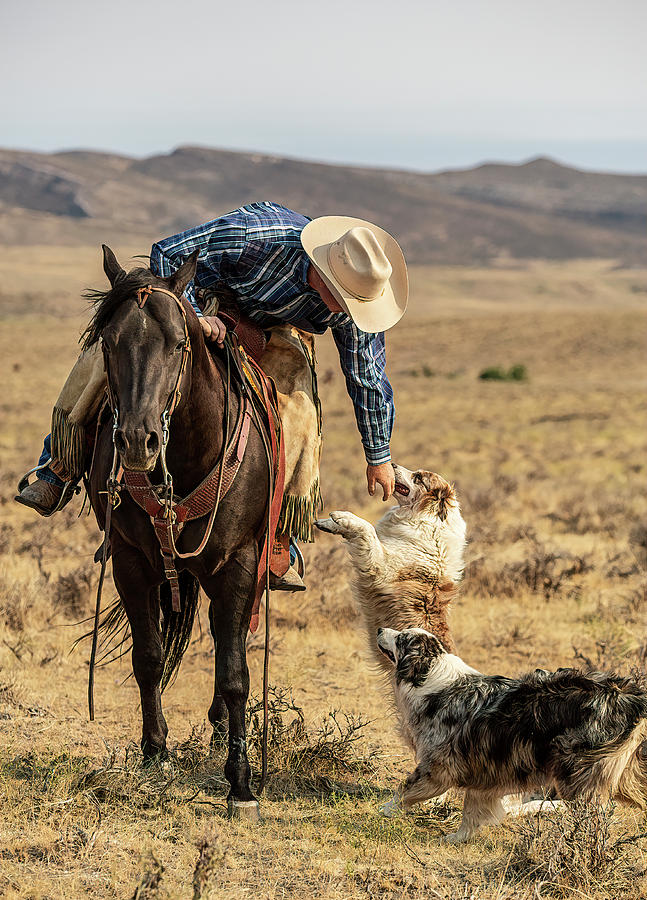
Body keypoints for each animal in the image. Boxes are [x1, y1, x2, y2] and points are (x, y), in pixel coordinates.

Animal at [84, 246, 270, 824]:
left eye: (179, 343)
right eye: (109, 342)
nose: (136, 441)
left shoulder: (238, 565)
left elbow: (234, 674)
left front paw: (241, 784)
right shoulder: (131, 562)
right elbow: (147, 659)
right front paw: (154, 754)